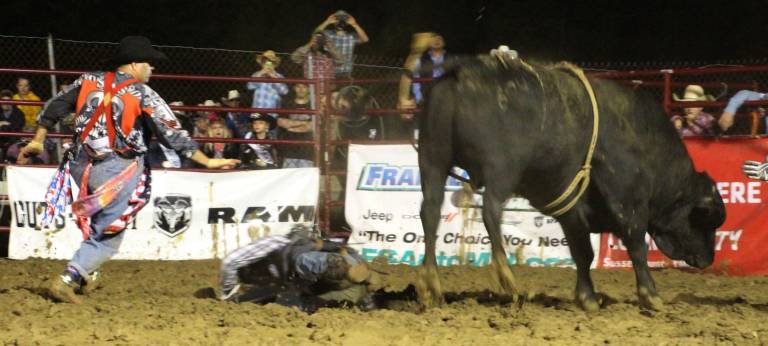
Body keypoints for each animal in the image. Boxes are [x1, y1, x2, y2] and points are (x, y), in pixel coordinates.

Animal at [420, 56, 728, 310]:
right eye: (705, 219)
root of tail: (463, 73)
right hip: (501, 167)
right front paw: (650, 295)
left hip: (433, 159)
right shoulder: (628, 201)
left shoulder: (571, 209)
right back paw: (505, 276)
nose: (709, 259)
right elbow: (636, 247)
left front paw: (587, 297)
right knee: (491, 211)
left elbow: (583, 253)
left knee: (430, 213)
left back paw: (431, 284)